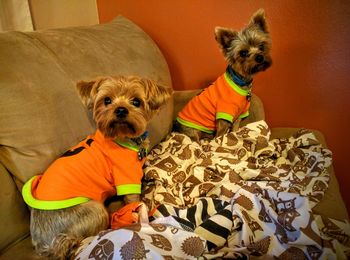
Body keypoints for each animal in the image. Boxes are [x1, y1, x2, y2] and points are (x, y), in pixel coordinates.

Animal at [21, 75, 172, 258]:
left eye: (136, 102)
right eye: (107, 100)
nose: (120, 110)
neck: (121, 138)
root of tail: (43, 243)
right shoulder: (126, 179)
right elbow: (134, 201)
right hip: (95, 210)